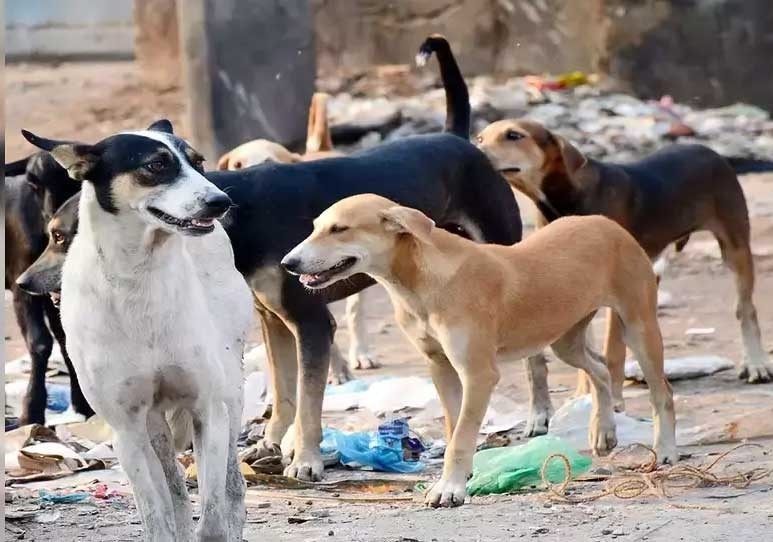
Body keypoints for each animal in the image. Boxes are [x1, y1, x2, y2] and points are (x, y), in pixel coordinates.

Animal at [4, 155, 93, 422]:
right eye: (33, 182)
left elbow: (66, 340)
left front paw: (83, 406)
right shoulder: (21, 284)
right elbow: (40, 342)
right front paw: (31, 411)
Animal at [22, 122, 252, 542]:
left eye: (198, 163)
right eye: (156, 165)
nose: (221, 202)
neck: (138, 277)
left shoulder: (208, 409)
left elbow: (212, 517)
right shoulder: (127, 429)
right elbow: (156, 512)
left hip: (231, 391)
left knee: (231, 486)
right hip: (152, 426)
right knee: (175, 491)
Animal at [284, 193, 676, 508]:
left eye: (340, 229)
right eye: (316, 227)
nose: (288, 264)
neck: (420, 280)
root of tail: (606, 223)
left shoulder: (478, 373)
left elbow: (460, 437)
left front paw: (450, 489)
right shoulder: (440, 366)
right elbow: (455, 425)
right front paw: (461, 478)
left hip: (639, 326)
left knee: (662, 393)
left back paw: (665, 450)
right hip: (564, 338)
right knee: (599, 369)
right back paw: (603, 430)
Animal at [476, 120, 772, 420]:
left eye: (514, 135)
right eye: (480, 137)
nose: (475, 151)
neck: (564, 199)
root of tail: (707, 149)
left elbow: (611, 351)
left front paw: (615, 401)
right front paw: (584, 396)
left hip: (734, 245)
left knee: (745, 308)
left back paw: (756, 364)